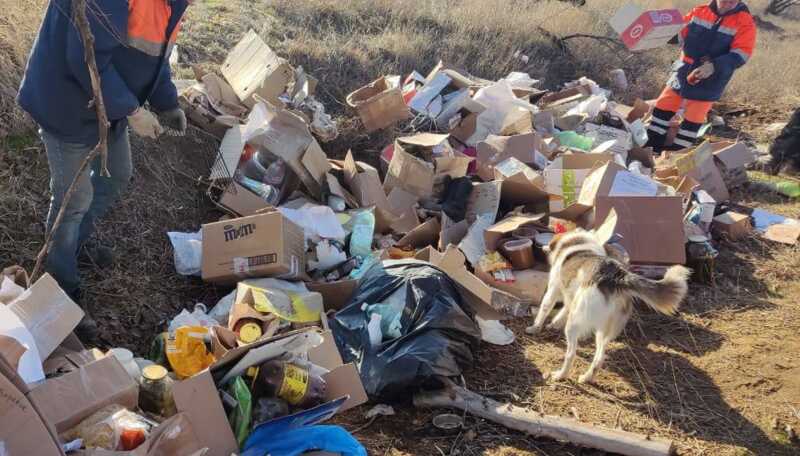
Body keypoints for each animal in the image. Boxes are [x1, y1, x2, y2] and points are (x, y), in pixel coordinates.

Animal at [528, 230, 692, 382]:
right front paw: (554, 324)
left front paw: (535, 327)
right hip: (605, 330)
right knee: (599, 357)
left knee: (571, 354)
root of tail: (617, 277)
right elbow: (563, 311)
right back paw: (587, 377)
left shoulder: (553, 289)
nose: (544, 247)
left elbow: (544, 309)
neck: (579, 244)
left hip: (574, 325)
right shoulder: (571, 297)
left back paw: (560, 375)